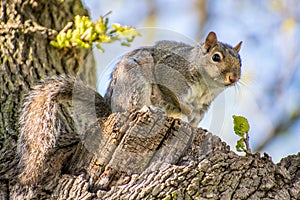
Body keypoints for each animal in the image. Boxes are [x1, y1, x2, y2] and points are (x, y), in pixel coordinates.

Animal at [17, 31, 241, 186]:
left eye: (240, 62)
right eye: (216, 57)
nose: (233, 78)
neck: (207, 86)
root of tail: (112, 108)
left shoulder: (203, 107)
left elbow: (194, 120)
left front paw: (195, 127)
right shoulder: (173, 75)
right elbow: (175, 97)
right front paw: (180, 108)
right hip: (135, 82)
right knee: (133, 108)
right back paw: (152, 108)